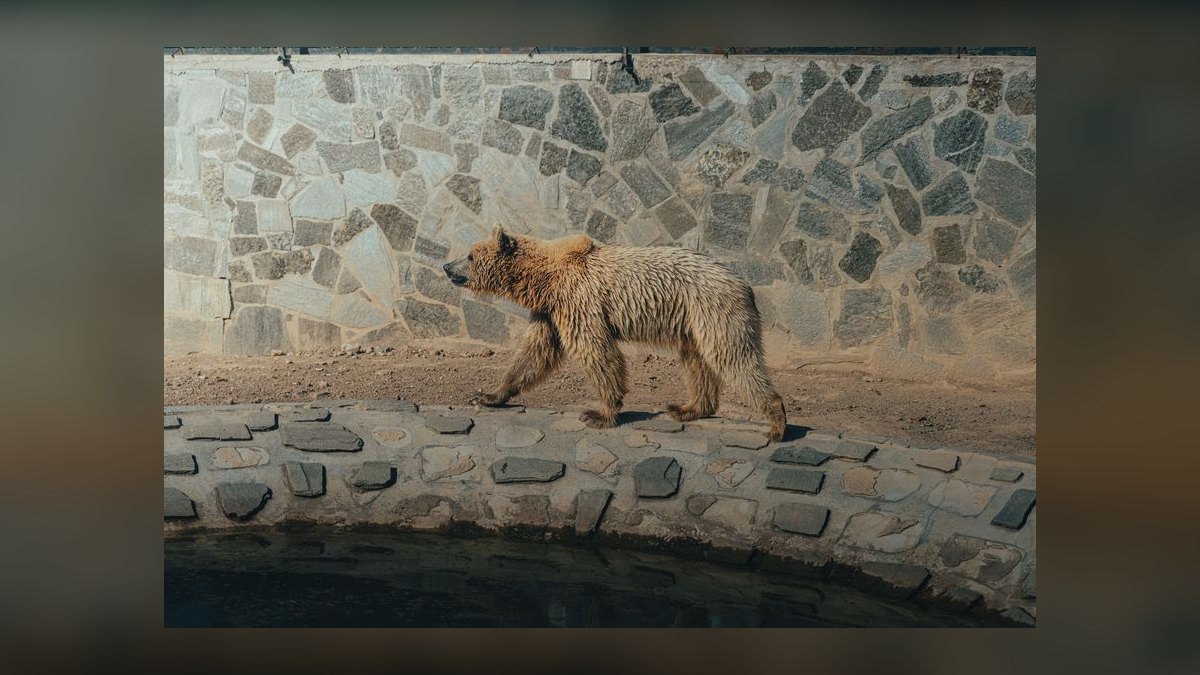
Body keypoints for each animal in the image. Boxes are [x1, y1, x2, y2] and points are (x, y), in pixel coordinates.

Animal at [443, 226, 787, 442]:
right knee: (698, 362)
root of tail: (744, 284)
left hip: (713, 310)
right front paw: (488, 394)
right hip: (693, 324)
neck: (543, 279)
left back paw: (775, 423)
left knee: (733, 358)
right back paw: (687, 408)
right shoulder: (550, 312)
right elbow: (534, 354)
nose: (447, 266)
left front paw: (600, 413)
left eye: (471, 254)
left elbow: (595, 351)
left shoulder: (578, 299)